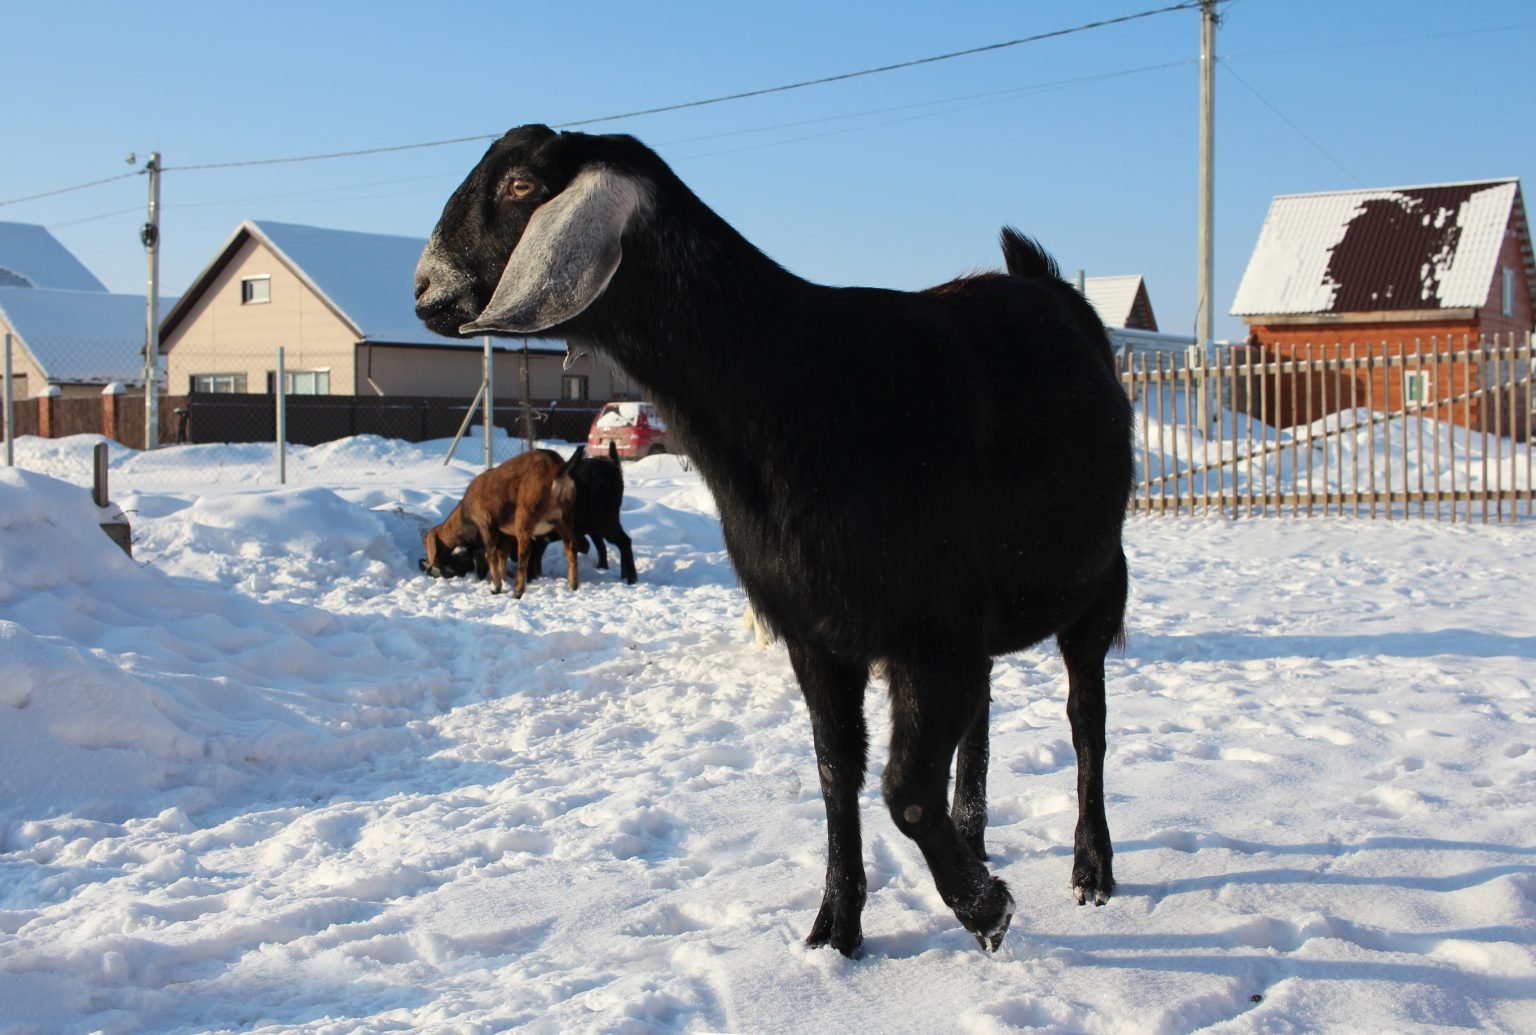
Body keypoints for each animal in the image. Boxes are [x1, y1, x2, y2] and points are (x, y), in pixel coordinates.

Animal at [423, 445, 583, 595]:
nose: (430, 567)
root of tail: (558, 470)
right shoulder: (506, 535)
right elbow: (502, 557)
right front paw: (504, 580)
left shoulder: (487, 525)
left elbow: (491, 555)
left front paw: (497, 587)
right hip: (565, 517)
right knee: (571, 546)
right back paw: (573, 585)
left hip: (525, 517)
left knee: (524, 553)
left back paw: (518, 591)